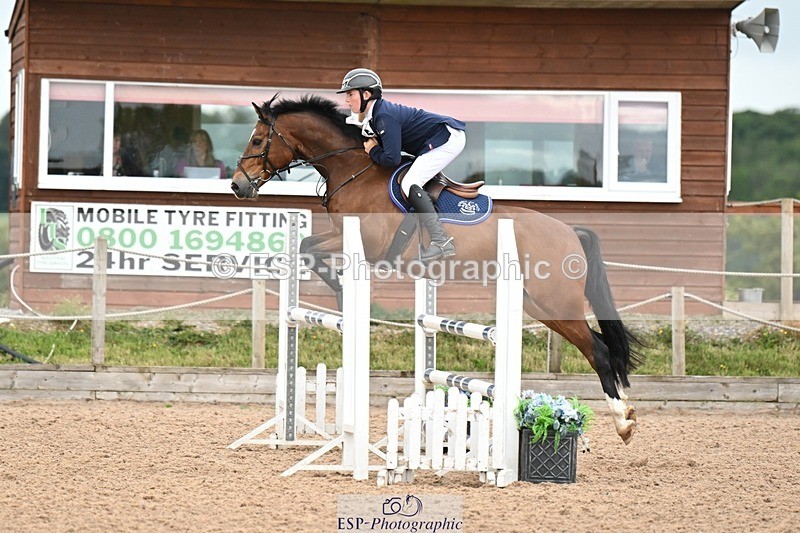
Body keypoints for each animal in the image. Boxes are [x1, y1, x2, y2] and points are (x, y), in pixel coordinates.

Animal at [230, 94, 643, 444]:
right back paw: (624, 415)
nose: (237, 187)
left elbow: (312, 251)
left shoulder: (369, 245)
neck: (353, 169)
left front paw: (343, 293)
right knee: (598, 346)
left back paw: (623, 422)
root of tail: (570, 231)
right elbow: (305, 247)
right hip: (539, 306)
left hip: (557, 302)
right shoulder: (342, 237)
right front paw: (341, 293)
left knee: (599, 351)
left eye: (257, 140)